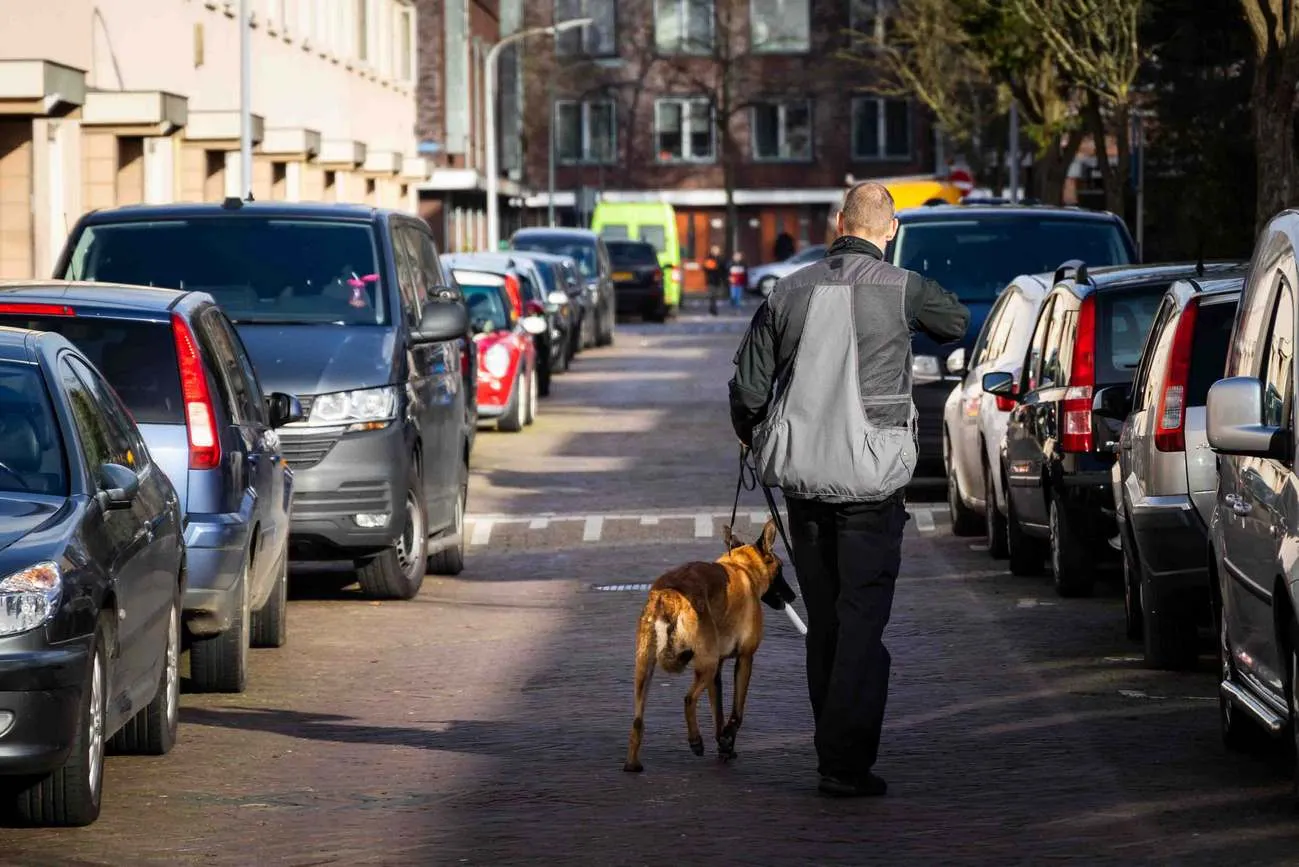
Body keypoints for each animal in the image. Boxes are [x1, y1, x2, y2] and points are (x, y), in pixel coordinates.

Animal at [620, 519, 779, 774]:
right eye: (781, 569)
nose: (792, 596)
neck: (741, 567)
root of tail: (669, 595)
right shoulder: (744, 660)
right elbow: (736, 712)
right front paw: (727, 740)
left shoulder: (718, 671)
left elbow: (719, 712)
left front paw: (724, 745)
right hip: (707, 665)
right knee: (688, 699)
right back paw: (695, 741)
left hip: (645, 669)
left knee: (637, 720)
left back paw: (632, 764)